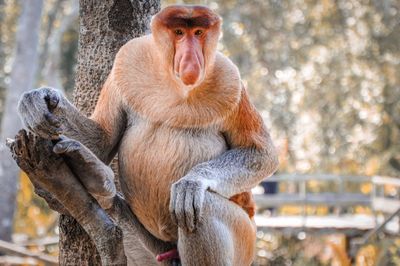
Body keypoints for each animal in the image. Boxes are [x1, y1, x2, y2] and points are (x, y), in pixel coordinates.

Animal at [16, 4, 278, 266]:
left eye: (199, 33)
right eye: (179, 32)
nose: (190, 59)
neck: (176, 86)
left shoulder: (231, 82)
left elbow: (261, 153)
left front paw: (191, 182)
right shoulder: (125, 64)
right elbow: (103, 139)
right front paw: (40, 99)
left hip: (244, 238)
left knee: (202, 210)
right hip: (148, 250)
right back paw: (91, 177)